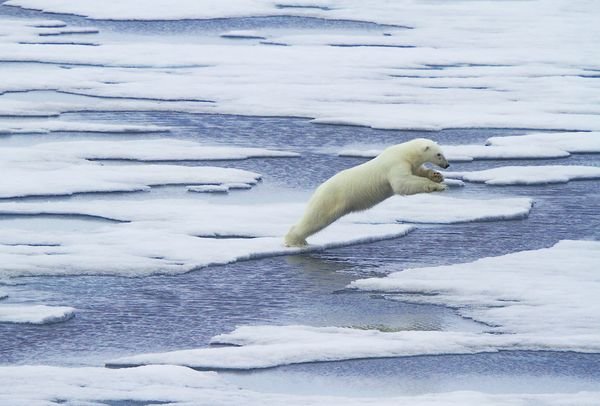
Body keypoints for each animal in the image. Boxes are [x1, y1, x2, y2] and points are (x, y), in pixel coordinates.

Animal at [286, 139, 450, 247]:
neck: (404, 153)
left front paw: (437, 176)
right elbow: (402, 184)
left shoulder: (410, 164)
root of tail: (318, 190)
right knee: (315, 219)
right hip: (330, 199)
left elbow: (418, 171)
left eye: (442, 152)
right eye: (439, 154)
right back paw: (295, 241)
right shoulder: (395, 164)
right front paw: (438, 186)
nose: (447, 165)